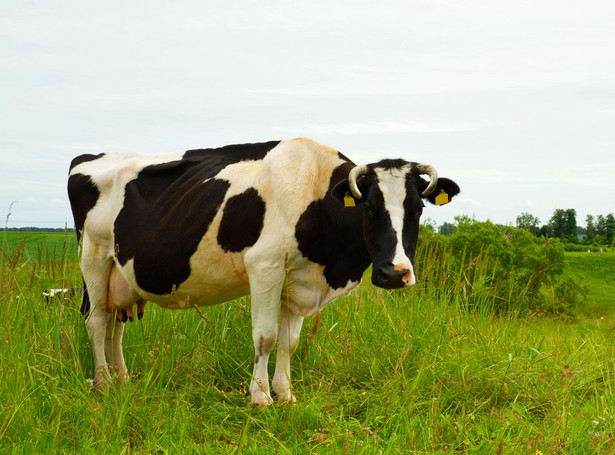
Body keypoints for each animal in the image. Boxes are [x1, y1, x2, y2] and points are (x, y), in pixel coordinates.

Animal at [68, 138, 462, 406]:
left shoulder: (297, 280)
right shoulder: (265, 266)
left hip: (121, 274)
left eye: (418, 209)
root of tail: (88, 157)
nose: (396, 274)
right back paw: (103, 384)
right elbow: (266, 337)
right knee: (97, 322)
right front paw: (259, 396)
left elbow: (289, 341)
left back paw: (123, 379)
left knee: (115, 325)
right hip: (94, 257)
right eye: (369, 209)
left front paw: (285, 393)